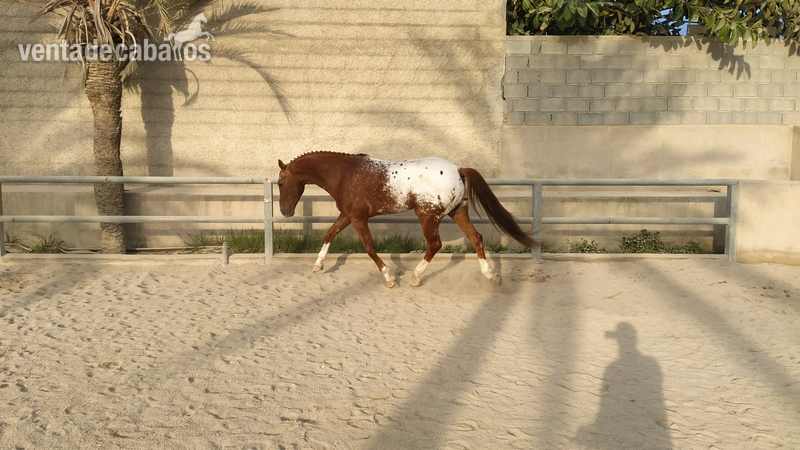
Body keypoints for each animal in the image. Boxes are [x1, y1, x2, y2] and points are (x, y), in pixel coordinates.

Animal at [277, 152, 538, 288]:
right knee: (476, 238)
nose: (285, 212)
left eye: (280, 183)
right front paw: (318, 265)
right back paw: (491, 275)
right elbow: (329, 233)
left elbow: (369, 248)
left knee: (435, 245)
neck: (345, 175)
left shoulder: (359, 218)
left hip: (428, 216)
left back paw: (415, 277)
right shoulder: (348, 215)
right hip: (458, 212)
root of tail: (458, 170)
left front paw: (390, 278)